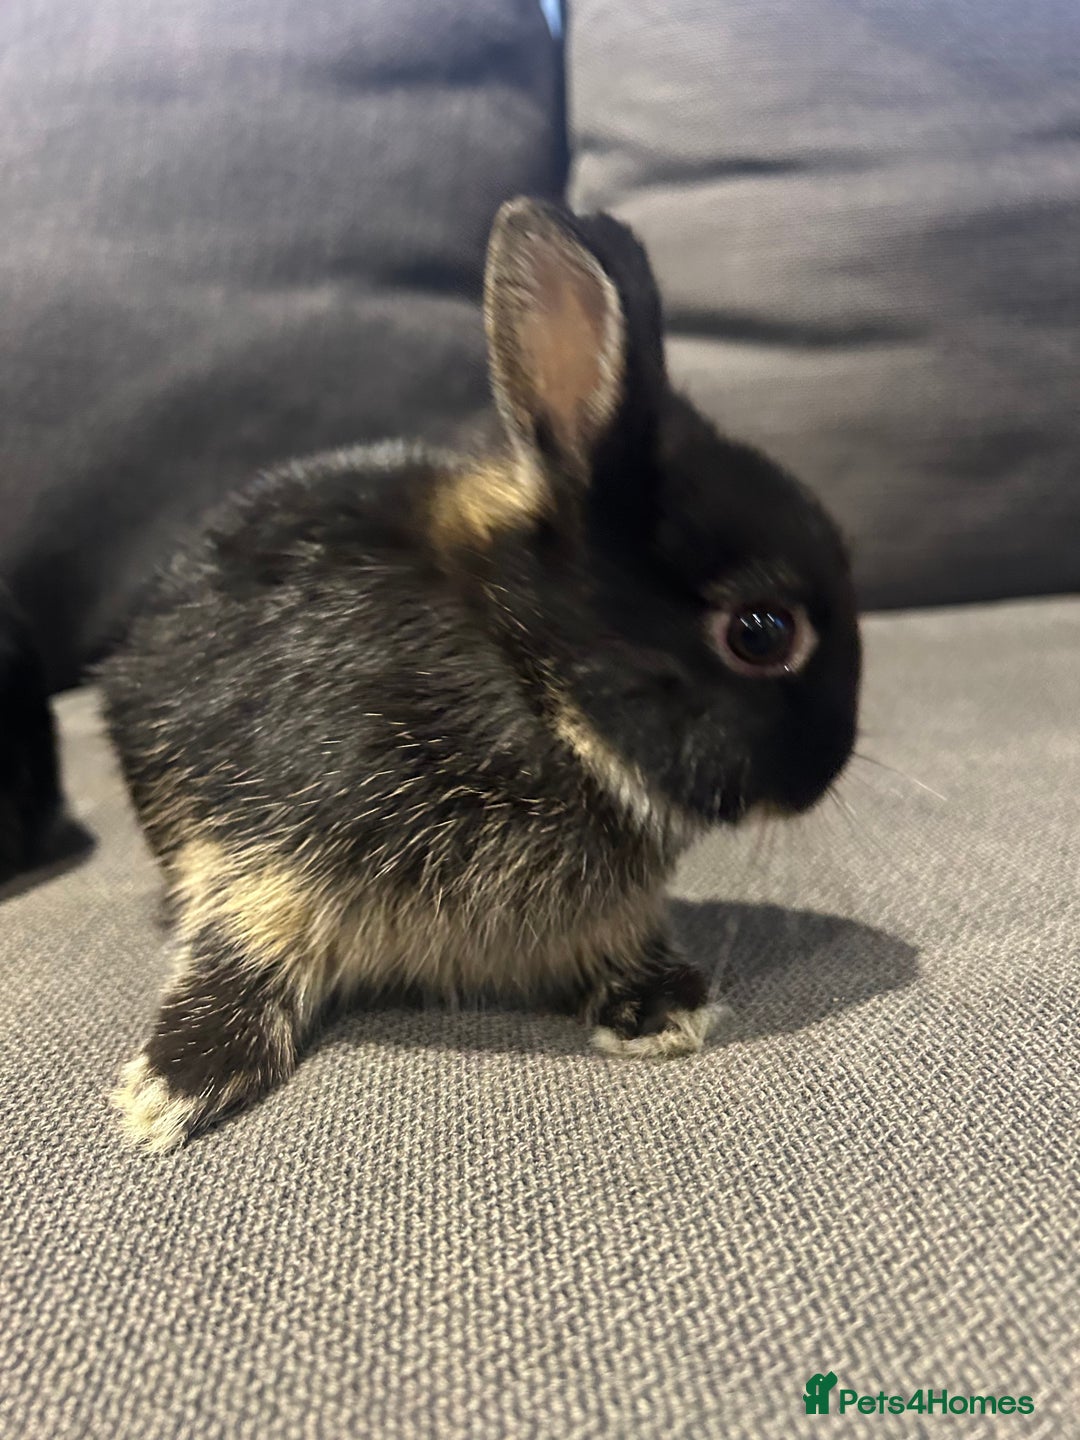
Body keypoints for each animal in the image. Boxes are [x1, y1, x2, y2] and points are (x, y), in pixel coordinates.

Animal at [103, 198, 861, 1152]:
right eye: (763, 632)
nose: (826, 770)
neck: (528, 674)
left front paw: (661, 1010)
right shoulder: (265, 848)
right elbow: (242, 942)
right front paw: (171, 1088)